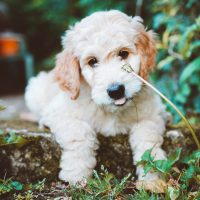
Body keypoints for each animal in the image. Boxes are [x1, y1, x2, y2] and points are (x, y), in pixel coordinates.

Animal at [25, 10, 169, 190]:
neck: (112, 110)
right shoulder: (59, 113)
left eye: (123, 53)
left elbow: (148, 137)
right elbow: (80, 131)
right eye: (92, 61)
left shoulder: (153, 112)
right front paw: (76, 174)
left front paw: (153, 177)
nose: (116, 90)